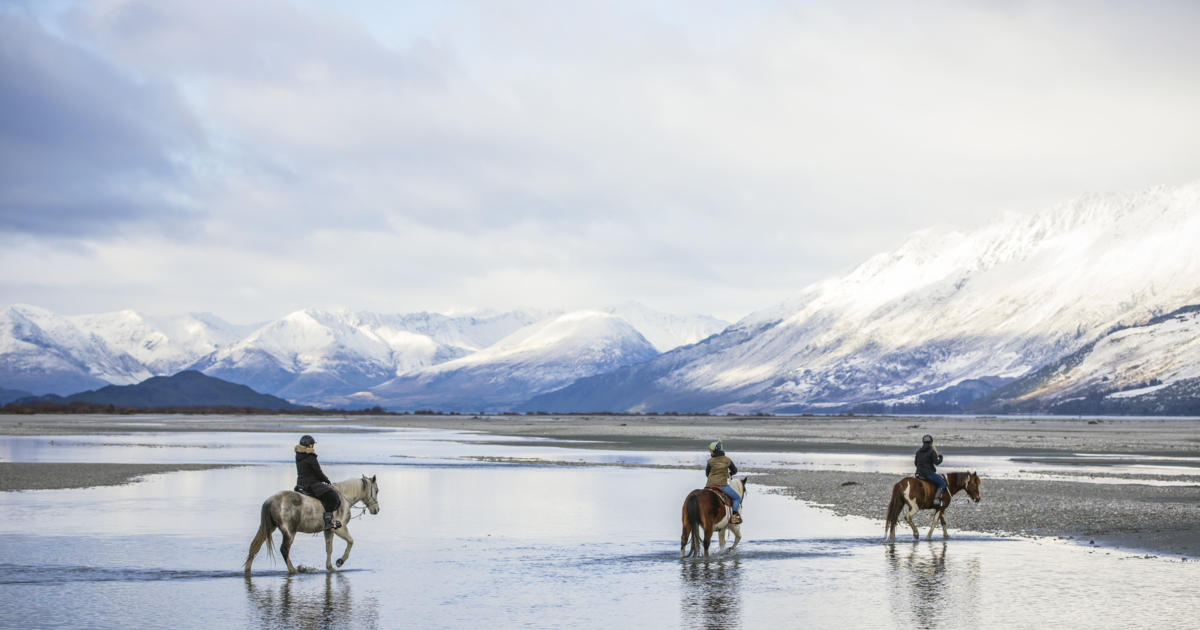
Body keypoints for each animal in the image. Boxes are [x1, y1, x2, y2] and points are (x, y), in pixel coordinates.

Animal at [241, 475, 376, 571]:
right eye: (377, 490)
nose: (376, 510)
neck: (344, 499)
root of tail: (270, 501)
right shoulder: (339, 528)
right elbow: (351, 541)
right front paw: (340, 562)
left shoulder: (328, 530)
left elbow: (329, 548)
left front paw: (330, 567)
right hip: (289, 532)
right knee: (284, 550)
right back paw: (293, 570)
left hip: (269, 527)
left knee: (255, 546)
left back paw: (248, 569)